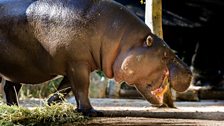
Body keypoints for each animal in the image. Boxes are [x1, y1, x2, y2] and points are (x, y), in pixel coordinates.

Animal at [0, 0, 192, 116]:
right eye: (165, 54)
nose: (190, 73)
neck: (125, 42)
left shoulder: (74, 65)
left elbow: (65, 89)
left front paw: (51, 103)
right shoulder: (77, 63)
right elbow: (82, 87)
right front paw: (92, 112)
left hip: (16, 70)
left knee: (11, 88)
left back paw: (14, 109)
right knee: (10, 88)